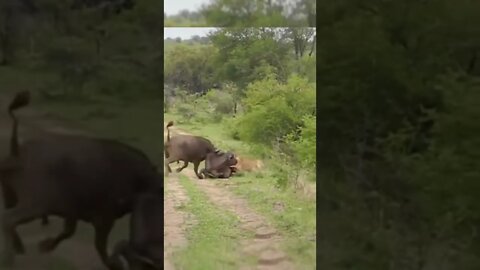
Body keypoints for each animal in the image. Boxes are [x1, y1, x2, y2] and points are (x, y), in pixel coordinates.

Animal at [0, 91, 163, 268]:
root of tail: (17, 152)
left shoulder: (73, 211)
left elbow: (69, 231)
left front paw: (46, 245)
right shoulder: (104, 218)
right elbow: (98, 244)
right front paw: (114, 264)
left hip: (11, 195)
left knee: (9, 218)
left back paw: (19, 248)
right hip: (35, 205)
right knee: (8, 218)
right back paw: (9, 258)